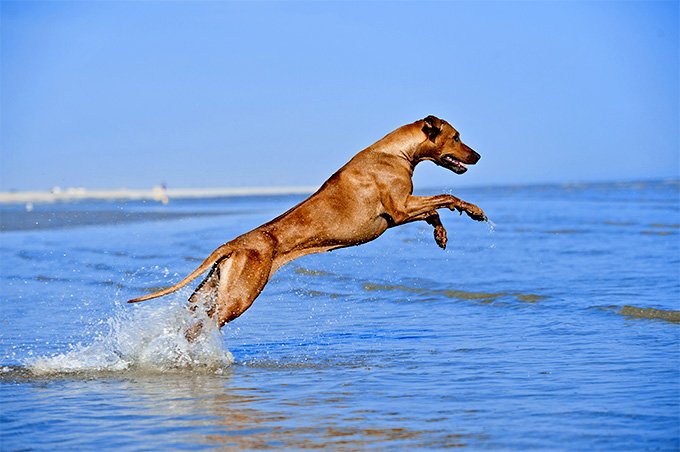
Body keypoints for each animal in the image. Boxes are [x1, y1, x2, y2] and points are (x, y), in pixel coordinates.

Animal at [127, 115, 486, 338]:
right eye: (456, 137)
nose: (479, 156)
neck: (396, 151)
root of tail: (234, 244)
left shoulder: (403, 209)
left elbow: (434, 211)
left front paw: (441, 233)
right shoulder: (399, 209)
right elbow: (445, 197)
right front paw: (474, 210)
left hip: (210, 290)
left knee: (190, 317)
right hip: (239, 296)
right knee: (201, 326)